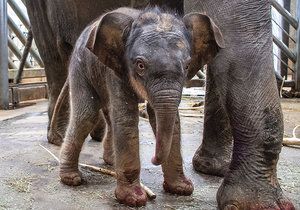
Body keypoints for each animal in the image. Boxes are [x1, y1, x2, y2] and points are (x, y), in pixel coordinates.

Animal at [57, 6, 224, 207]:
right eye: (140, 65)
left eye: (187, 66)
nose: (152, 159)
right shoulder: (116, 70)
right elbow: (126, 119)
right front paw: (133, 198)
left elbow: (169, 121)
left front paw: (181, 189)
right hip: (80, 67)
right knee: (86, 116)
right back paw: (72, 179)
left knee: (108, 116)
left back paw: (111, 162)